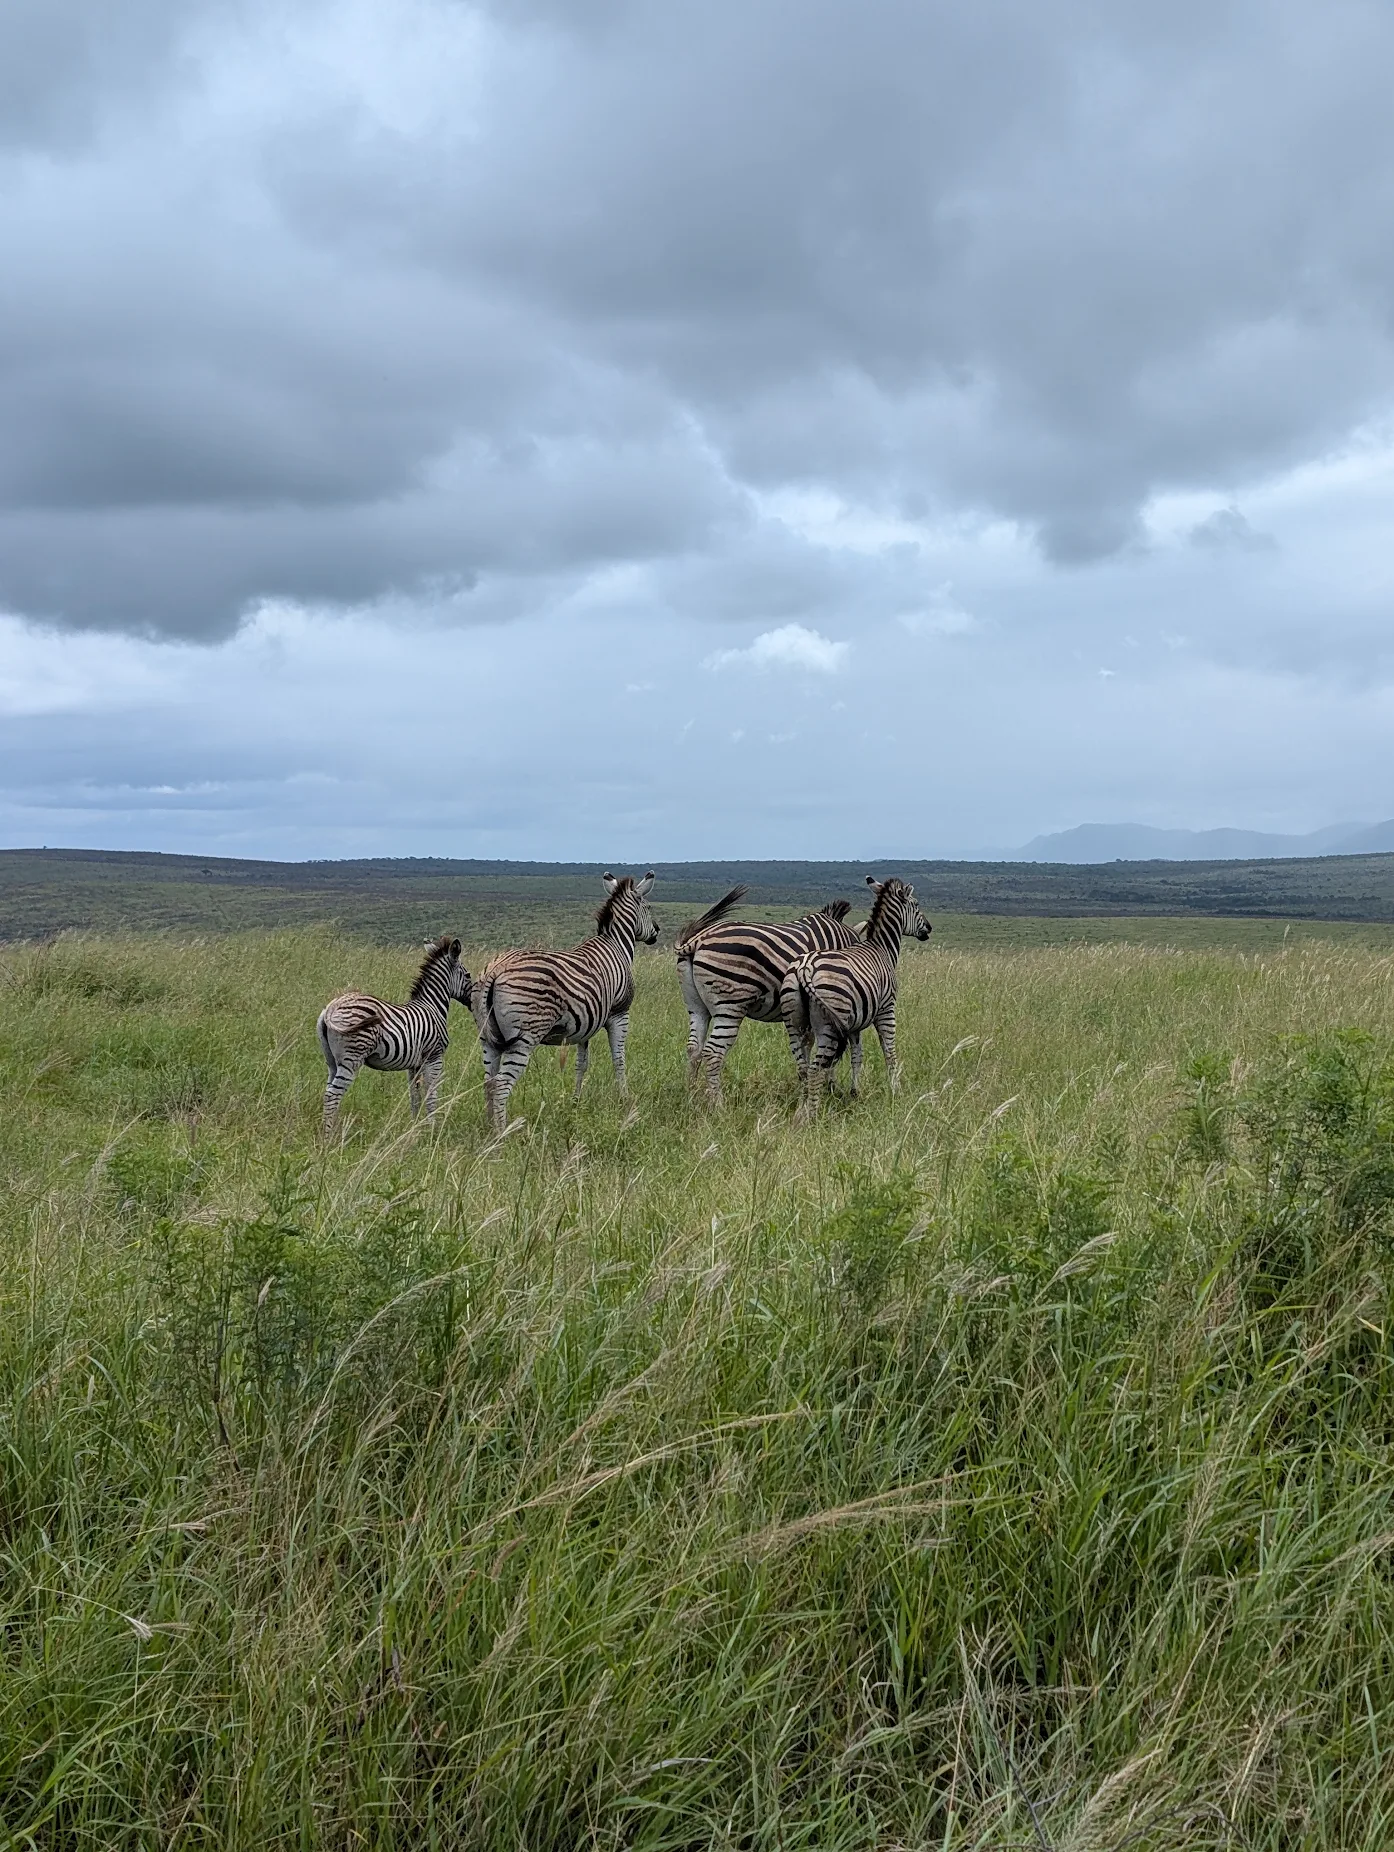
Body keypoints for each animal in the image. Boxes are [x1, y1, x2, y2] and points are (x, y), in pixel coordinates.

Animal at [317, 935, 473, 1134]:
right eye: (468, 976)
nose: (473, 1002)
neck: (432, 1006)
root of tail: (332, 1006)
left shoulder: (415, 1064)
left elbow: (415, 1096)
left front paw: (415, 1128)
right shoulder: (434, 1056)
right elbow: (431, 1093)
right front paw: (433, 1128)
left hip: (331, 1061)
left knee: (328, 1092)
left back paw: (331, 1130)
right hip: (351, 1058)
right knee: (332, 1095)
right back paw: (328, 1137)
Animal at [472, 872, 658, 1133]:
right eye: (649, 907)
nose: (656, 932)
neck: (616, 944)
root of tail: (496, 969)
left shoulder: (586, 1024)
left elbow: (581, 1064)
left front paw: (575, 1102)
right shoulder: (619, 1013)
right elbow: (619, 1059)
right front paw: (625, 1100)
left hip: (487, 1037)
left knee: (488, 1081)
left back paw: (490, 1130)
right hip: (525, 1037)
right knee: (500, 1085)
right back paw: (503, 1133)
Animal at [675, 889, 861, 1097]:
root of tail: (696, 941)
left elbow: (811, 1044)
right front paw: (829, 1087)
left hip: (696, 1006)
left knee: (694, 1048)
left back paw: (691, 1095)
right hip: (730, 1005)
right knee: (714, 1052)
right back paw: (717, 1103)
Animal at [780, 876, 931, 1108]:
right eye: (916, 905)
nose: (929, 929)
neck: (882, 948)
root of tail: (804, 968)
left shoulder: (855, 1024)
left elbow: (857, 1056)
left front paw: (854, 1092)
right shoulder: (886, 1010)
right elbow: (889, 1051)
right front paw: (896, 1090)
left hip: (794, 1023)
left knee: (803, 1068)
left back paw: (803, 1103)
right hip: (829, 1026)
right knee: (815, 1069)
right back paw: (812, 1110)